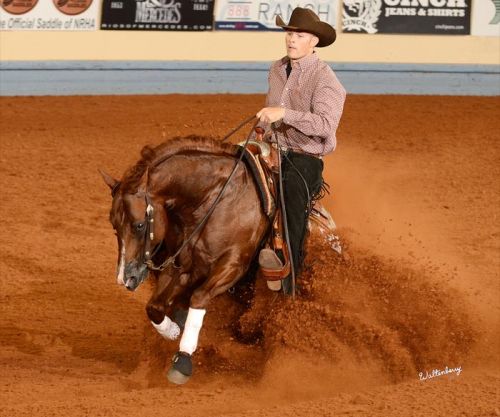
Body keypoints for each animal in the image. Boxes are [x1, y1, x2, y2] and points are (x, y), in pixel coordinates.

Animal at [100, 136, 270, 384]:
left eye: (139, 225)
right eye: (114, 226)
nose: (125, 278)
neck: (216, 199)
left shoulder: (233, 265)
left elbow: (198, 298)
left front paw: (183, 359)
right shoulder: (183, 265)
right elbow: (154, 307)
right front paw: (172, 329)